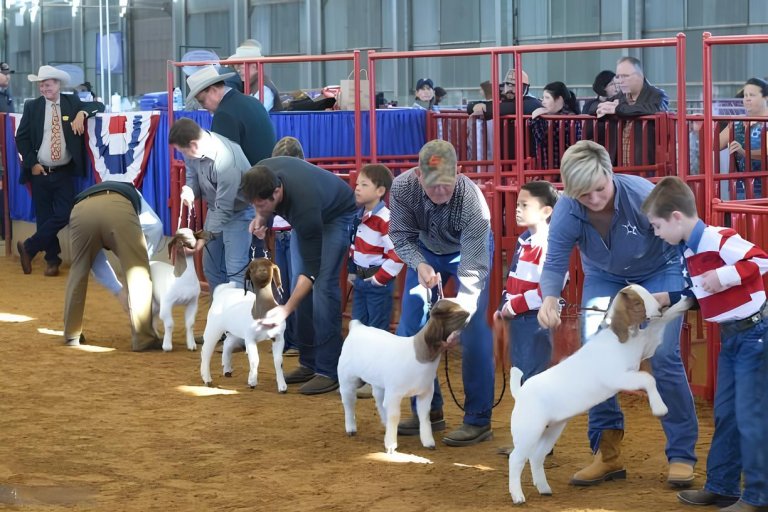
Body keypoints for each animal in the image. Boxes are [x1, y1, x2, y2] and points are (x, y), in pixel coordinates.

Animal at [201, 260, 288, 392]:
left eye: (269, 264)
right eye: (252, 267)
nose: (262, 270)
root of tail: (222, 291)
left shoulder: (279, 337)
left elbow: (279, 361)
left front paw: (282, 386)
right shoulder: (250, 338)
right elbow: (255, 360)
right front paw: (252, 382)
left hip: (235, 331)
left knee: (227, 343)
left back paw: (227, 370)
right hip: (213, 328)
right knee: (206, 351)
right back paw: (207, 379)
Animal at [340, 298, 472, 454]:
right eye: (451, 312)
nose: (469, 312)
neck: (420, 357)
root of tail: (356, 327)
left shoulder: (426, 393)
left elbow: (424, 415)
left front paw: (429, 442)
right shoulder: (395, 393)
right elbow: (394, 416)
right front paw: (391, 445)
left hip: (380, 382)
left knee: (379, 400)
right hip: (347, 377)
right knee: (349, 401)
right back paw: (351, 429)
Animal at [508, 284, 692, 504]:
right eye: (637, 302)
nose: (658, 308)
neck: (619, 338)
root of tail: (520, 392)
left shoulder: (645, 347)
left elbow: (657, 326)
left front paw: (683, 302)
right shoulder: (618, 377)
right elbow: (648, 379)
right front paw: (660, 408)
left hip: (552, 429)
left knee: (536, 456)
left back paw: (544, 488)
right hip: (529, 430)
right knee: (516, 459)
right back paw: (518, 496)